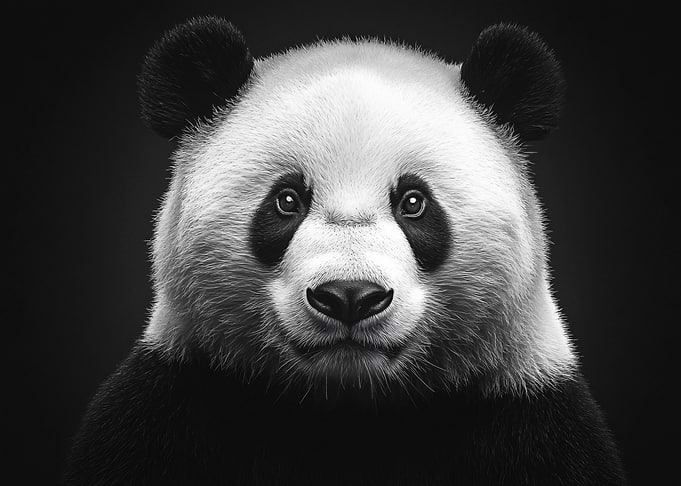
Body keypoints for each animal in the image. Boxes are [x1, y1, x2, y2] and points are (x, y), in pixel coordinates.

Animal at [65, 16, 627, 486]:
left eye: (414, 202)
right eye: (286, 200)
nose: (350, 295)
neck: (350, 407)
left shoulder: (525, 411)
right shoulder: (176, 400)